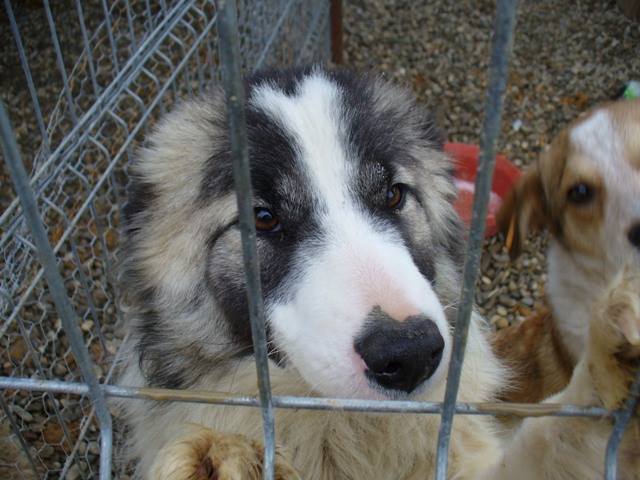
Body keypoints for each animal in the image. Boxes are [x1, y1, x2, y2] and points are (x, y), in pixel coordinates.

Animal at [117, 67, 640, 480]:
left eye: (393, 194)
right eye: (262, 218)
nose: (409, 353)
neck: (347, 431)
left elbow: (554, 433)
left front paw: (610, 355)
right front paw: (226, 459)